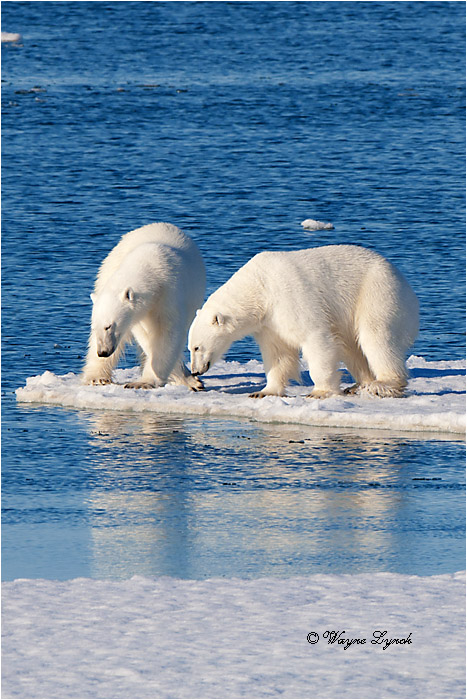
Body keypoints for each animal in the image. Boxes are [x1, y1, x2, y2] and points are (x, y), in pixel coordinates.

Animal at [83, 222, 206, 391]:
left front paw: (145, 381)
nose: (103, 351)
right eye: (95, 327)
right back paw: (96, 377)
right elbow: (147, 337)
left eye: (109, 326)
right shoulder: (139, 314)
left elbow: (167, 333)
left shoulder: (169, 294)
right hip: (107, 271)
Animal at [188, 244, 419, 399]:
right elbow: (278, 353)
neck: (260, 287)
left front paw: (320, 391)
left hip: (377, 293)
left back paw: (383, 384)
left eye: (197, 347)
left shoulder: (291, 297)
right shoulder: (269, 323)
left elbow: (315, 338)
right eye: (190, 347)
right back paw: (358, 385)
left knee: (375, 337)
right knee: (351, 347)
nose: (195, 371)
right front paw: (264, 391)